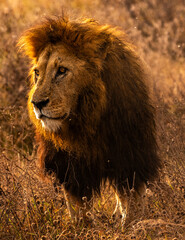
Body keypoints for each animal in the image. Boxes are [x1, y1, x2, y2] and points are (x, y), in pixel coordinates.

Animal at [18, 15, 161, 224]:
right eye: (37, 73)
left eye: (62, 70)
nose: (37, 103)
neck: (87, 120)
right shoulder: (70, 169)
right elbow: (78, 209)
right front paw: (83, 225)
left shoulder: (130, 158)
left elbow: (132, 203)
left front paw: (132, 224)